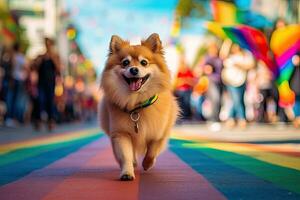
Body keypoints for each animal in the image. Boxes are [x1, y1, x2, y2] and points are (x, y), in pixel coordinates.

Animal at [99, 33, 178, 181]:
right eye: (125, 63)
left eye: (144, 63)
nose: (134, 69)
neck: (136, 104)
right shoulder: (121, 134)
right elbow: (126, 155)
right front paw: (127, 172)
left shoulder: (159, 133)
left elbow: (152, 151)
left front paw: (147, 164)